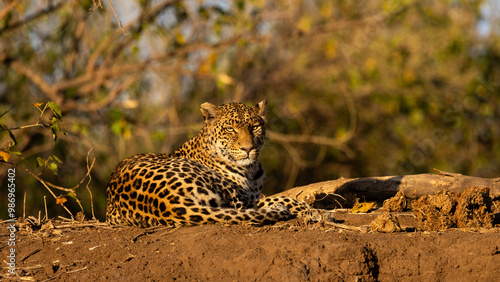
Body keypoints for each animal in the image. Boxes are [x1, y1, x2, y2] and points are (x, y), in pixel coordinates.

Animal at [105, 100, 332, 228]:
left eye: (255, 127)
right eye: (230, 129)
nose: (248, 148)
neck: (251, 169)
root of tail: (166, 203)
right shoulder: (244, 200)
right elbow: (283, 197)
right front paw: (316, 211)